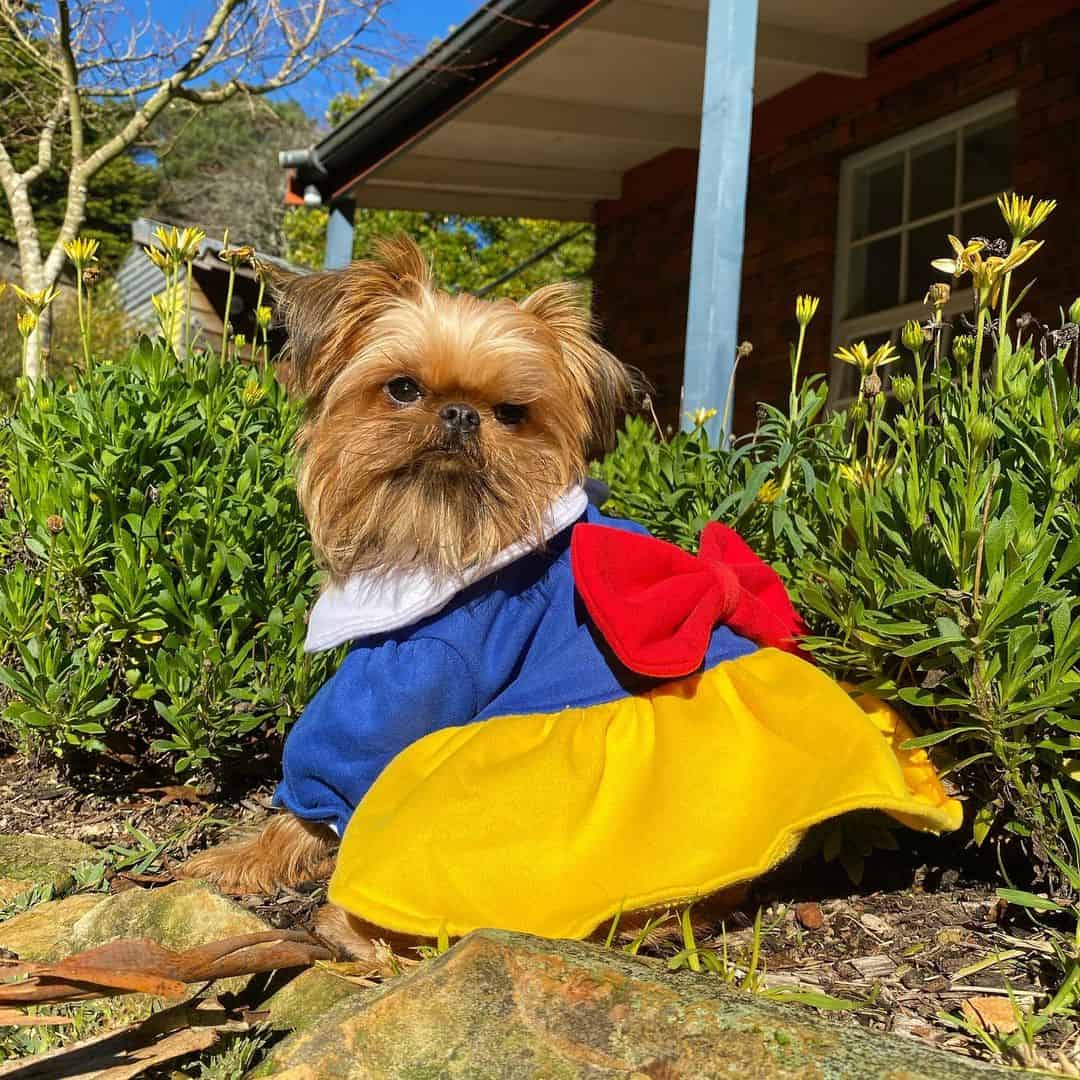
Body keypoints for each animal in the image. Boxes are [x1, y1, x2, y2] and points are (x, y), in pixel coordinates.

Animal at [182, 238, 639, 954]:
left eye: (513, 413)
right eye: (402, 388)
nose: (461, 414)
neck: (445, 528)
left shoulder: (410, 678)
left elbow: (326, 772)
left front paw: (247, 857)